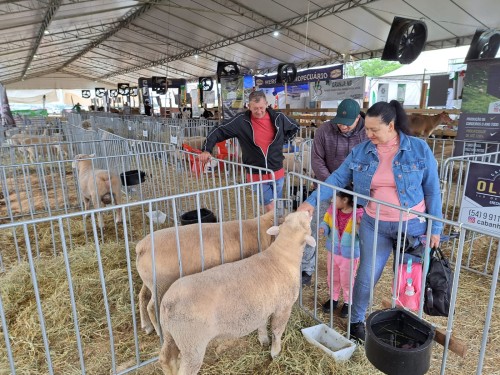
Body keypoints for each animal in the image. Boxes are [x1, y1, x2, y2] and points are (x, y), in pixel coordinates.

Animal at [136, 210, 278, 336]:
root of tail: (141, 247)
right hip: (160, 285)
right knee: (151, 307)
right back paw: (158, 331)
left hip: (149, 282)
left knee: (142, 296)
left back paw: (146, 326)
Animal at [158, 212, 314, 375]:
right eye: (306, 224)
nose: (308, 212)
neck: (283, 257)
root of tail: (169, 303)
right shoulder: (284, 307)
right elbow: (277, 331)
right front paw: (275, 352)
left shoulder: (263, 306)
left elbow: (262, 323)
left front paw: (263, 339)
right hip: (192, 343)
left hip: (170, 334)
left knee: (165, 358)